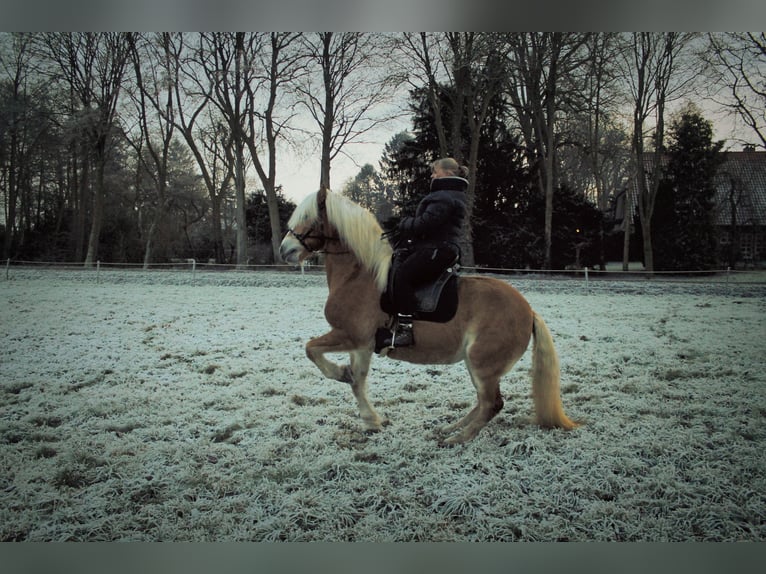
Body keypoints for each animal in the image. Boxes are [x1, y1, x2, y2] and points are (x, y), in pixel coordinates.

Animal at [280, 188, 580, 446]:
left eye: (308, 218)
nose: (285, 250)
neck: (359, 276)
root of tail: (528, 310)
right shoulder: (362, 346)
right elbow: (357, 382)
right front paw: (371, 420)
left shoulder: (349, 336)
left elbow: (311, 349)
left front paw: (339, 373)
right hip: (477, 364)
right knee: (482, 402)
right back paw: (451, 427)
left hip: (482, 363)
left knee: (492, 404)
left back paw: (457, 438)